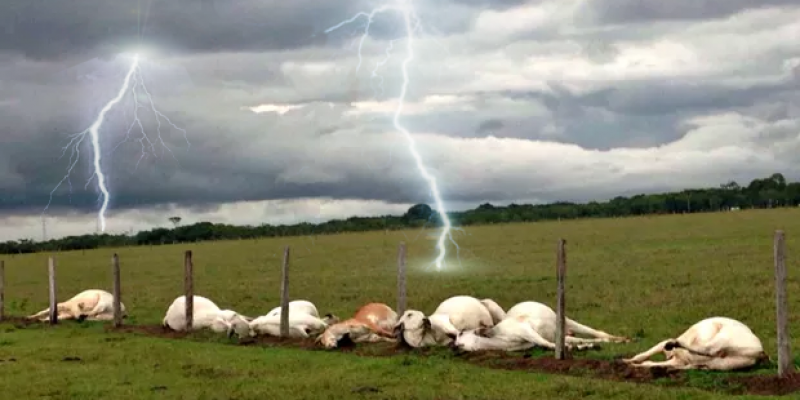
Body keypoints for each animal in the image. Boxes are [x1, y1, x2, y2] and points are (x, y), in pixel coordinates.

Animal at [454, 302, 628, 352]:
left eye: (461, 333)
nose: (452, 345)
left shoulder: (526, 329)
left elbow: (545, 343)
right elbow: (548, 344)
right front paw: (581, 347)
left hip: (564, 319)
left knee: (596, 332)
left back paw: (622, 339)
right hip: (561, 332)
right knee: (581, 339)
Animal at [620, 316, 768, 372]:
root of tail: (761, 352)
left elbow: (646, 354)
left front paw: (627, 361)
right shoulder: (677, 360)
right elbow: (651, 362)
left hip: (722, 340)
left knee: (707, 350)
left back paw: (673, 344)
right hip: (723, 364)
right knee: (701, 364)